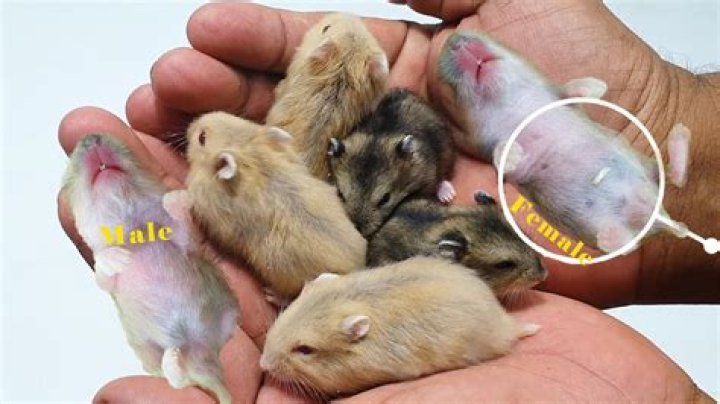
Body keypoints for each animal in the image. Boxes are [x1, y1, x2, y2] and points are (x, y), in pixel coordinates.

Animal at [62, 134, 238, 404]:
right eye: (70, 167)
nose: (92, 138)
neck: (137, 229)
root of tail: (200, 352)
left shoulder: (184, 243)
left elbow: (184, 230)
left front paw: (176, 198)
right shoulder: (110, 278)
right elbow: (103, 277)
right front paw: (117, 258)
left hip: (225, 318)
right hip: (149, 350)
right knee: (182, 380)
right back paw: (173, 362)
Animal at [438, 31, 690, 253]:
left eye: (499, 40)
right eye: (450, 88)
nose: (455, 41)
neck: (510, 102)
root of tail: (654, 215)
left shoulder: (562, 97)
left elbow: (574, 91)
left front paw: (595, 85)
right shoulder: (502, 154)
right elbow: (503, 156)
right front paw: (512, 153)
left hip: (646, 165)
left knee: (671, 176)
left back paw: (679, 136)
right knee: (630, 244)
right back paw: (611, 236)